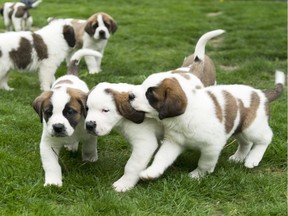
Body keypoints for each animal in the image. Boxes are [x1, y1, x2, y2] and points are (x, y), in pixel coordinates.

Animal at [32, 48, 102, 186]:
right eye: (48, 112)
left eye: (70, 112)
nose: (58, 127)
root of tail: (70, 76)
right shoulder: (48, 143)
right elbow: (51, 165)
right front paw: (53, 182)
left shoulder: (90, 132)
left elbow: (89, 147)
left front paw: (90, 159)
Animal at [83, 29, 223, 192]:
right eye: (87, 109)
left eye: (105, 110)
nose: (89, 125)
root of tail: (193, 69)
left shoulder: (144, 144)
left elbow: (132, 165)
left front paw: (124, 184)